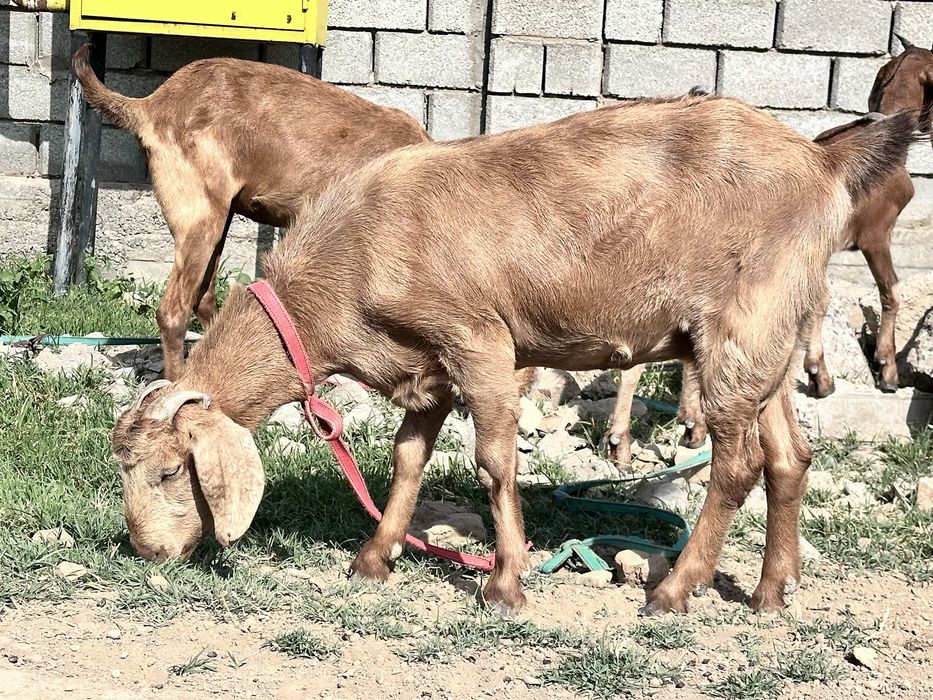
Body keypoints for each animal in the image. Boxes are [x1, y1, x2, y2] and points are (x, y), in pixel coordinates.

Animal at [112, 95, 917, 616]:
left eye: (169, 471)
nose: (147, 553)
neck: (347, 270)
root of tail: (820, 162)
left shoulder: (476, 338)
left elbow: (494, 462)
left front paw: (504, 584)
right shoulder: (426, 365)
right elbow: (408, 458)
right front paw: (374, 557)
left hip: (738, 328)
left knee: (738, 464)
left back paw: (672, 590)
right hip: (768, 337)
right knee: (788, 458)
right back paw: (770, 593)